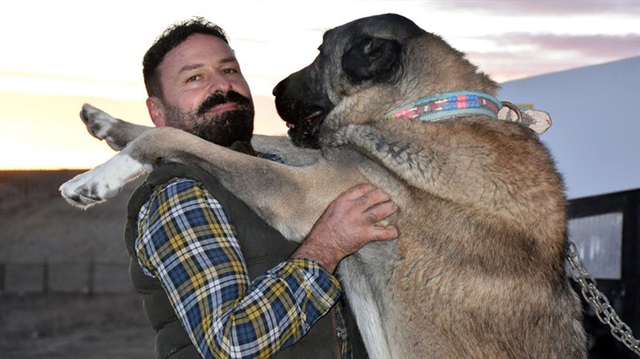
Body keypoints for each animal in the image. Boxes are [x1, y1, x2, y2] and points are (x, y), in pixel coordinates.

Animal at [60, 13, 584, 358]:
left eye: (321, 54)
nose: (271, 90)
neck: (425, 110)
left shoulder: (308, 193)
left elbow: (175, 137)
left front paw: (97, 178)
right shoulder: (328, 165)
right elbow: (233, 139)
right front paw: (106, 124)